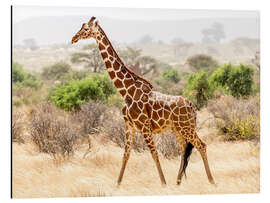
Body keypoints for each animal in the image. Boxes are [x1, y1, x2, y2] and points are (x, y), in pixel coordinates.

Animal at [71, 17, 215, 186]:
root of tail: (193, 106)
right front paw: (117, 185)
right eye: (82, 26)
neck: (126, 91)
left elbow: (154, 154)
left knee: (201, 145)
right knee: (183, 149)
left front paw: (163, 184)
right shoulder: (129, 125)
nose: (73, 38)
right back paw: (178, 182)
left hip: (186, 127)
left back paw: (211, 181)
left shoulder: (144, 126)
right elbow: (126, 154)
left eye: (86, 29)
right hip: (178, 128)